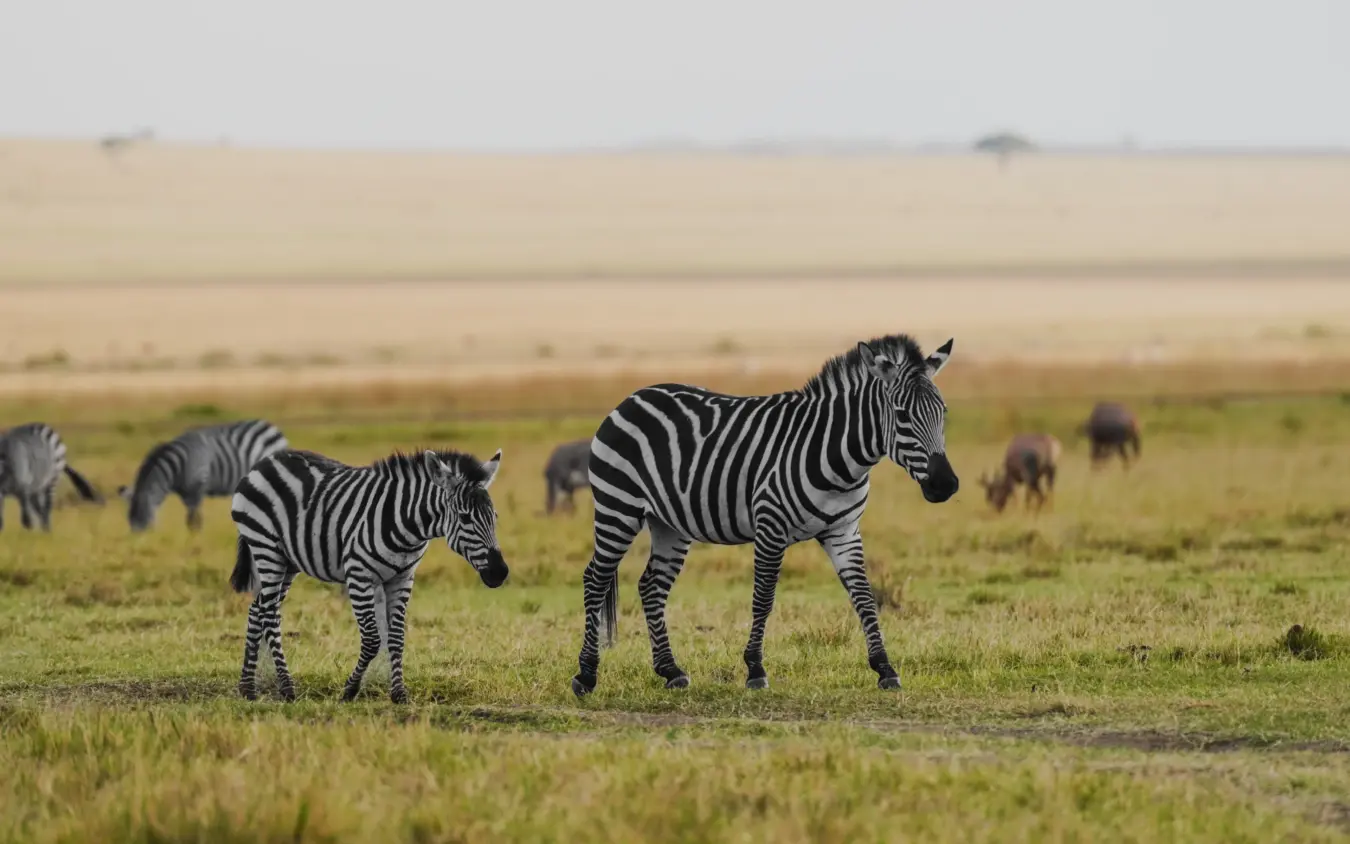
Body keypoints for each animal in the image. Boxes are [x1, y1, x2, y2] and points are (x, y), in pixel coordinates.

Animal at [118, 419, 288, 532]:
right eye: (129, 521)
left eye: (144, 521)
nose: (137, 544)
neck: (178, 467)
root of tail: (270, 427)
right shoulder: (185, 493)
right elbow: (190, 517)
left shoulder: (198, 485)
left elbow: (194, 517)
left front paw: (194, 537)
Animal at [229, 446, 509, 703]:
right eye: (465, 517)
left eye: (494, 516)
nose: (499, 573)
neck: (407, 525)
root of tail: (265, 462)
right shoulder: (359, 575)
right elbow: (374, 640)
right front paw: (349, 690)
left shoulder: (402, 579)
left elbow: (396, 637)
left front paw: (399, 694)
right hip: (267, 548)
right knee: (269, 615)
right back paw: (286, 688)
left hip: (288, 562)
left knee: (257, 609)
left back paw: (247, 687)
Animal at [570, 334, 959, 698]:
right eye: (902, 414)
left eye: (944, 412)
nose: (945, 485)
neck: (840, 458)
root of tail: (633, 397)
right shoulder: (770, 525)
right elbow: (764, 597)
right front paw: (755, 669)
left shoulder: (845, 531)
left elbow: (864, 596)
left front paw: (884, 668)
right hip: (617, 507)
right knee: (595, 579)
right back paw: (586, 674)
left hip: (669, 524)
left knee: (651, 586)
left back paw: (670, 670)